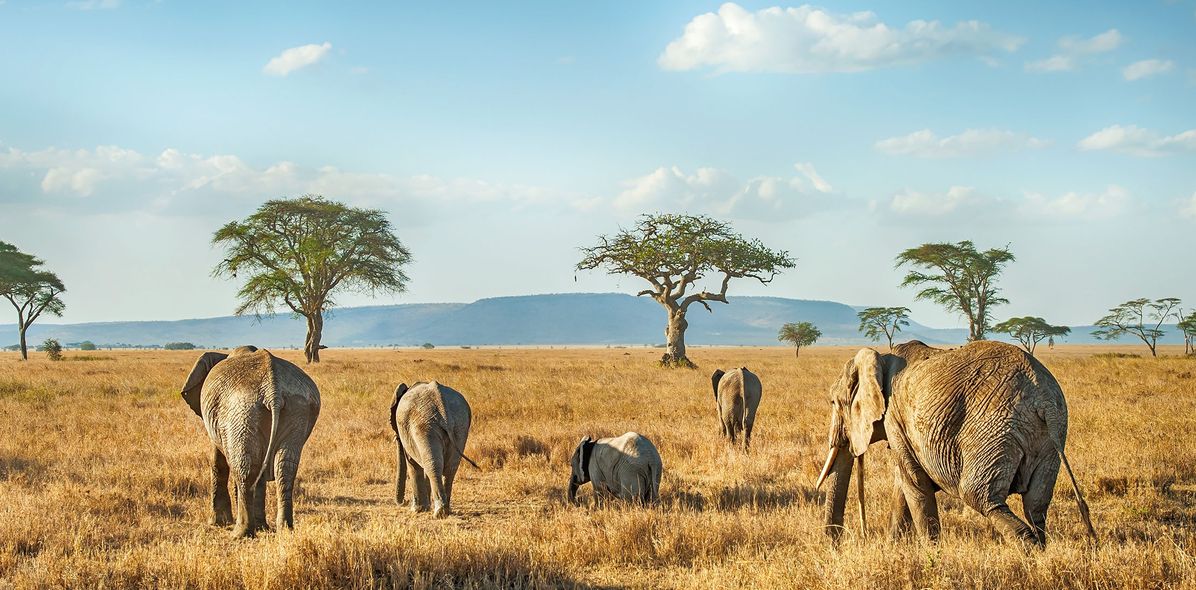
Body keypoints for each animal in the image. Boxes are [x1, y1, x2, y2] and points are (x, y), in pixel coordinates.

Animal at [179, 344, 320, 538]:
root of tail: (273, 391)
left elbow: (219, 461)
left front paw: (218, 523)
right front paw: (262, 527)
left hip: (242, 409)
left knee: (244, 466)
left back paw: (241, 533)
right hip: (297, 407)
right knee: (285, 466)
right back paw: (285, 529)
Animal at [387, 382, 471, 514]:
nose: (404, 501)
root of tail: (442, 405)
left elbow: (412, 464)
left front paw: (417, 509)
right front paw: (424, 508)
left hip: (425, 426)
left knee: (433, 465)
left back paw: (439, 513)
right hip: (460, 425)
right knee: (450, 468)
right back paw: (446, 511)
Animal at [813, 339, 1095, 548]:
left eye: (834, 403)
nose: (835, 546)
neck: (880, 357)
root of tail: (1043, 400)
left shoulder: (895, 416)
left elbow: (914, 483)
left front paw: (932, 554)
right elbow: (904, 484)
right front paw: (894, 549)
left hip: (994, 428)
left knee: (980, 496)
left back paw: (1029, 552)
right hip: (1050, 437)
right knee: (1036, 504)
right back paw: (1041, 549)